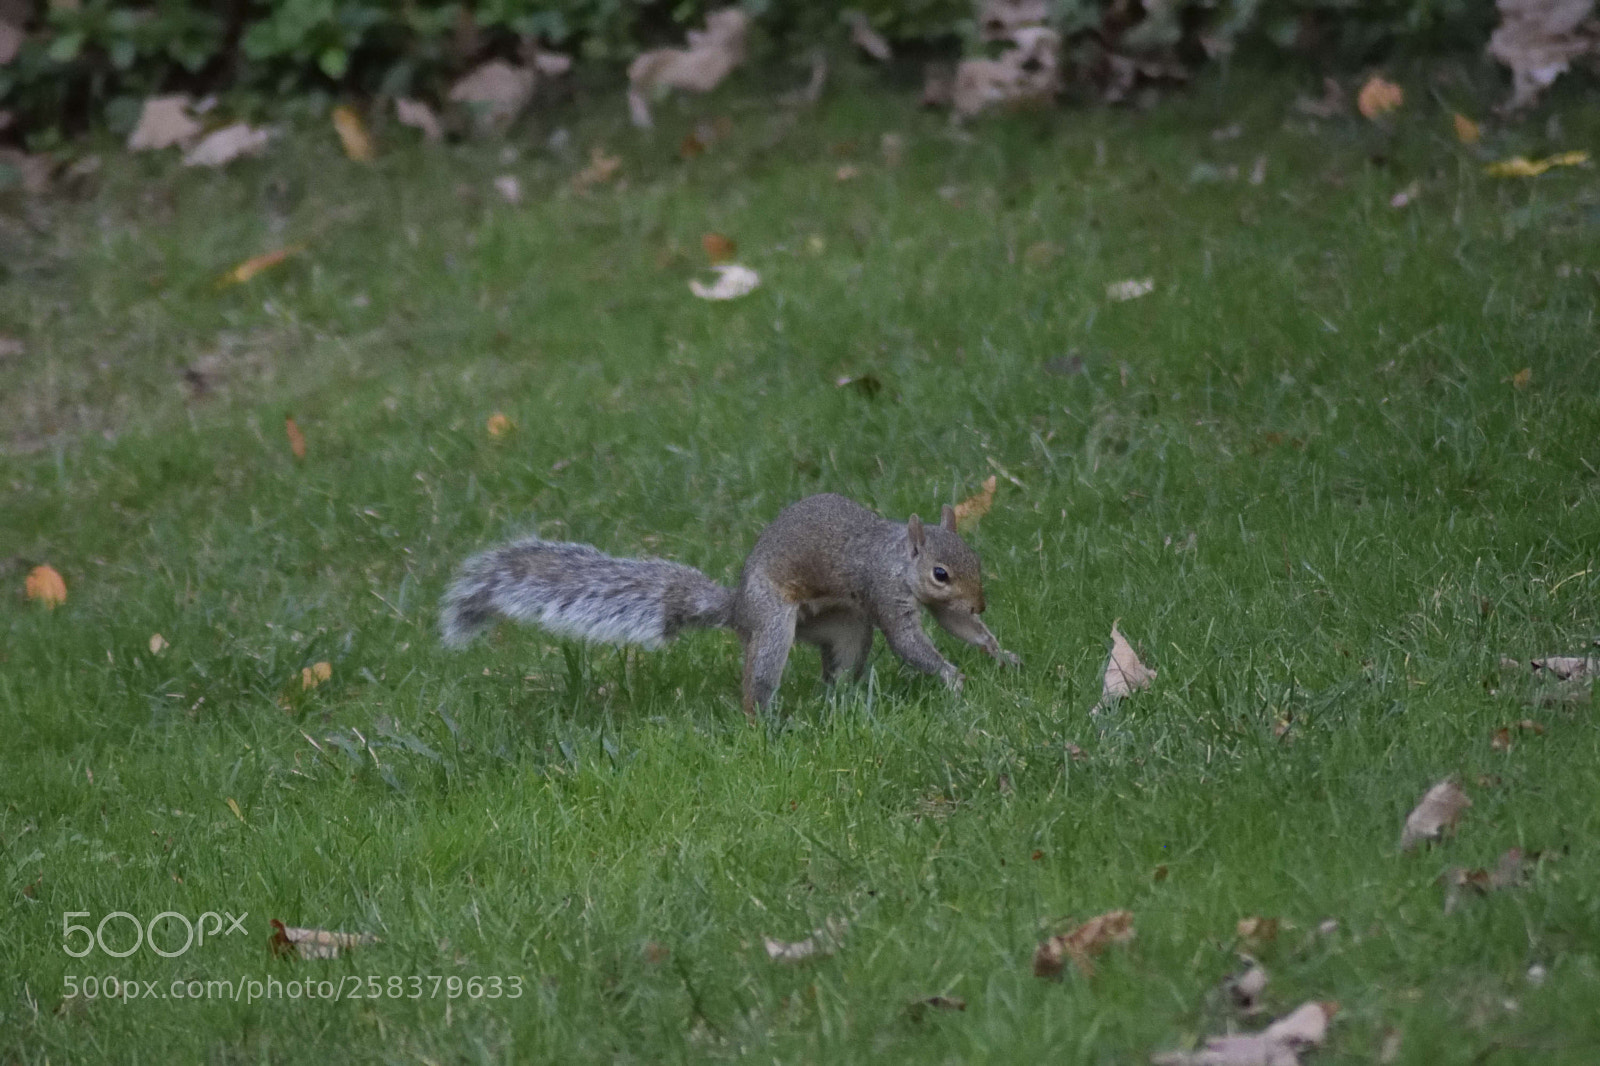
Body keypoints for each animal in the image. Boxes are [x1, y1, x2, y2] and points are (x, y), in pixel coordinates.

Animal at [440, 493, 1021, 720]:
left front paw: (1000, 654)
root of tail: (738, 609)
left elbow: (955, 624)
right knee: (758, 678)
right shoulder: (881, 589)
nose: (984, 602)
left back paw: (844, 701)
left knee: (840, 666)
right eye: (940, 573)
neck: (896, 557)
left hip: (846, 627)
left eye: (975, 559)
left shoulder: (937, 608)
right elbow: (909, 642)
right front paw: (952, 677)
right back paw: (767, 720)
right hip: (775, 623)